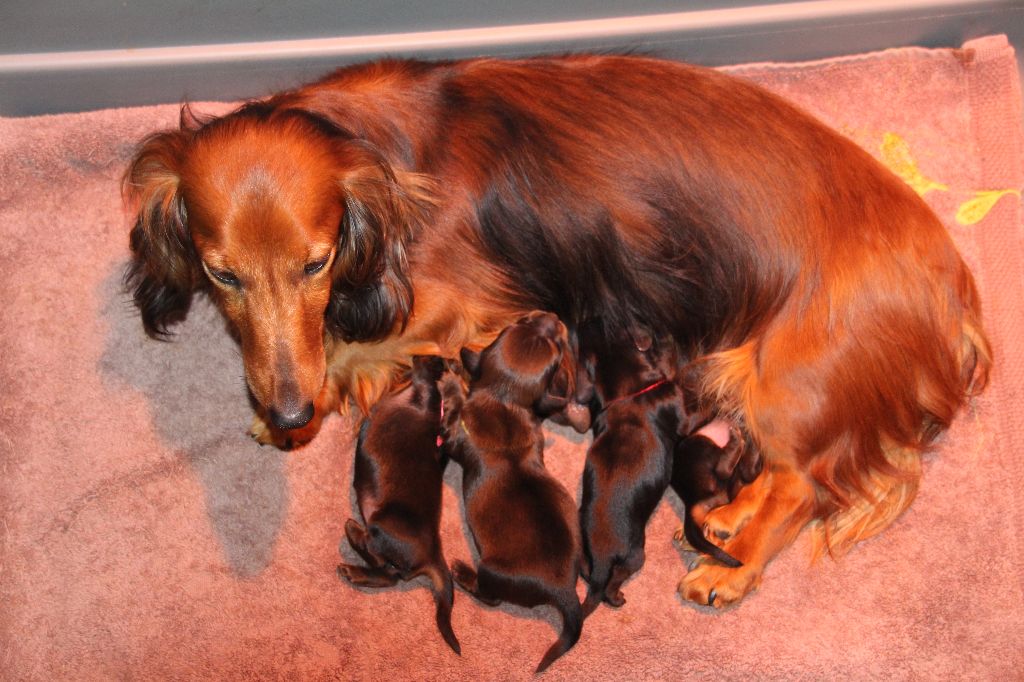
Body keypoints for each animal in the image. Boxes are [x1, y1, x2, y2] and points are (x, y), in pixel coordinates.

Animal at [339, 352, 460, 651]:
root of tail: (434, 554)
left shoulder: (425, 388)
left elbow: (423, 374)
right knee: (388, 575)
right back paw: (355, 571)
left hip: (381, 525)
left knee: (381, 563)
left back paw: (353, 533)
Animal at [442, 311, 581, 671]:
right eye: (523, 322)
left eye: (557, 346)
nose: (552, 317)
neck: (504, 397)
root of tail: (564, 589)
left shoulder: (452, 439)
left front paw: (453, 380)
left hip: (492, 572)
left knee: (489, 596)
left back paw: (462, 573)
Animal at [577, 319, 737, 614]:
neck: (630, 393)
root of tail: (602, 558)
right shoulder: (683, 415)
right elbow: (697, 407)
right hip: (636, 555)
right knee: (612, 582)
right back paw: (617, 597)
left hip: (583, 551)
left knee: (585, 570)